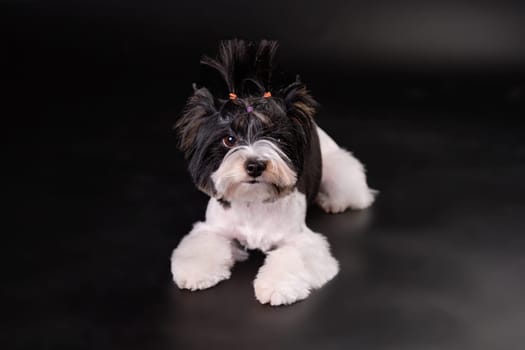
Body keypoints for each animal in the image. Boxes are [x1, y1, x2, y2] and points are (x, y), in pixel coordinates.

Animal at [170, 39, 374, 304]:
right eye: (229, 139)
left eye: (277, 138)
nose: (255, 165)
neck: (253, 201)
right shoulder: (213, 228)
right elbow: (203, 245)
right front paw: (196, 273)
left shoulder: (299, 239)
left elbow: (292, 256)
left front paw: (277, 286)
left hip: (337, 168)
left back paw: (333, 202)